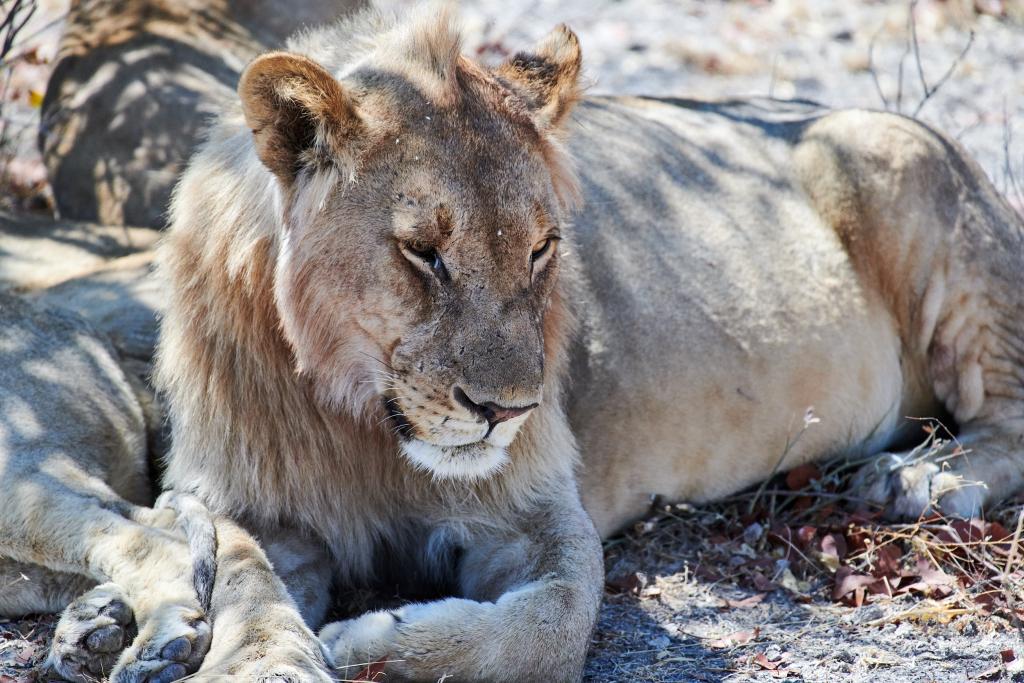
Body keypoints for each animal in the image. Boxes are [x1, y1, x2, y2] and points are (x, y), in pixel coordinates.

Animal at [130, 6, 1024, 683]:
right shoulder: (235, 498)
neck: (361, 428)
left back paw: (923, 477)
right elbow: (243, 574)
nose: (507, 410)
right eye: (423, 251)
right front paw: (264, 660)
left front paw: (371, 640)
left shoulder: (535, 506)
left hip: (907, 180)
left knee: (1008, 415)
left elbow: (545, 627)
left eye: (540, 248)